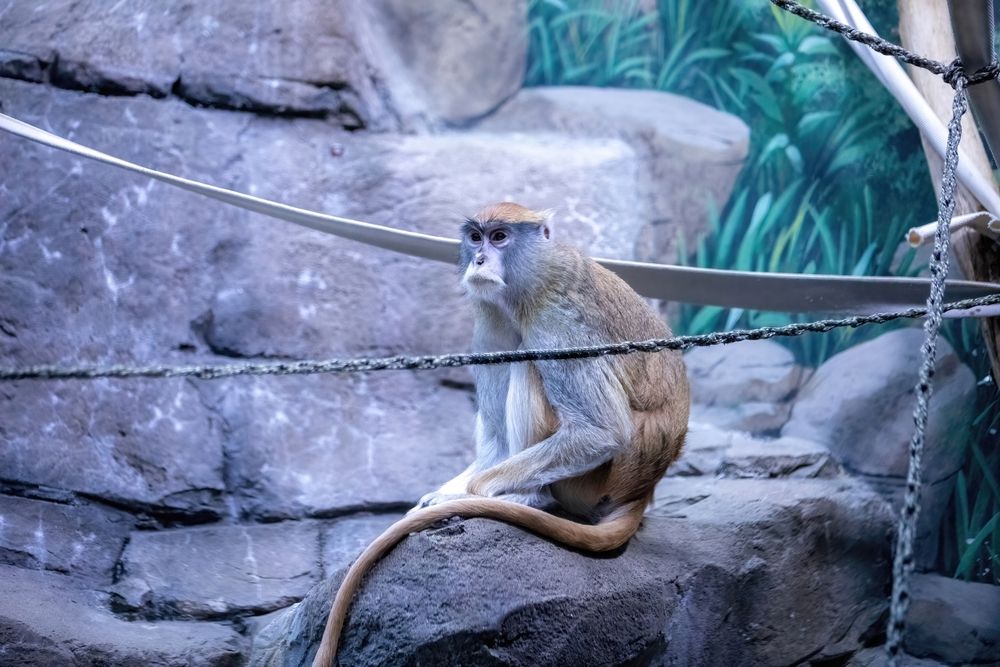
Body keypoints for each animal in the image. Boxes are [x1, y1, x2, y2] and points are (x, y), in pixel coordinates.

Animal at [311, 202, 689, 667]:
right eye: (475, 237)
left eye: (500, 237)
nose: (478, 259)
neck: (531, 278)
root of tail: (645, 486)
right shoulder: (490, 320)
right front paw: (446, 493)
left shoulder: (559, 323)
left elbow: (601, 429)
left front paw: (473, 494)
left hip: (600, 478)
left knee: (528, 363)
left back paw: (529, 498)